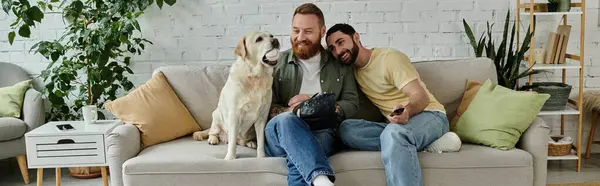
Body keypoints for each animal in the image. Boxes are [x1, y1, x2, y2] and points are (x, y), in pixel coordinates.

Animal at [193, 31, 280, 161]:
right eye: (259, 39)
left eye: (271, 36)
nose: (276, 40)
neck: (256, 76)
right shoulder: (234, 114)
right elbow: (232, 142)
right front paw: (230, 158)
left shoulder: (262, 117)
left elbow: (261, 141)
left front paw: (261, 157)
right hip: (217, 115)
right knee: (213, 132)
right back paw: (213, 139)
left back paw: (250, 142)